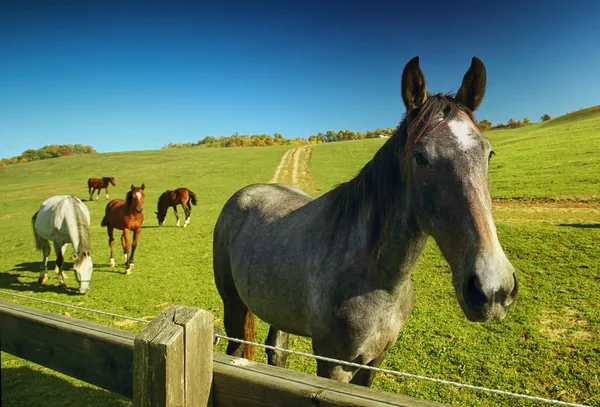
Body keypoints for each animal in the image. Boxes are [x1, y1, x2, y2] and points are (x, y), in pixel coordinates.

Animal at [213, 55, 516, 388]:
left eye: (489, 154)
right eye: (420, 157)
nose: (492, 290)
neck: (378, 277)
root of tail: (246, 193)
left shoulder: (374, 361)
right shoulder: (335, 364)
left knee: (276, 351)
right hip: (233, 306)